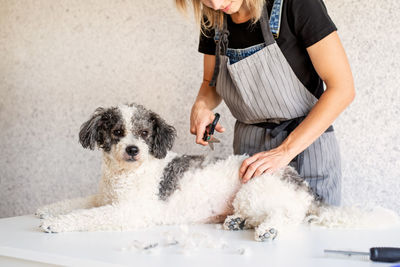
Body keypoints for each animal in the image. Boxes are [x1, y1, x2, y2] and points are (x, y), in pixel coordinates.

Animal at [36, 103, 398, 242]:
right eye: (116, 131)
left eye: (143, 133)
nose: (133, 150)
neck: (126, 174)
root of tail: (305, 187)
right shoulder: (103, 197)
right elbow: (77, 203)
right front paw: (46, 210)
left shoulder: (127, 212)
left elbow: (86, 216)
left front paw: (57, 223)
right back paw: (237, 222)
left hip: (254, 192)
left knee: (287, 216)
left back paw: (268, 229)